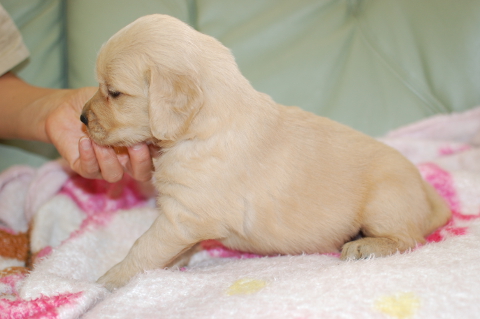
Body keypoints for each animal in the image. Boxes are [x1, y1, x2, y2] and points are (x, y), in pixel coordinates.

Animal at [80, 15, 452, 292]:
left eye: (113, 92)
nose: (81, 118)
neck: (202, 129)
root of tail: (425, 193)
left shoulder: (183, 216)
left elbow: (144, 248)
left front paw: (110, 279)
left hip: (384, 200)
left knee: (409, 238)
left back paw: (365, 246)